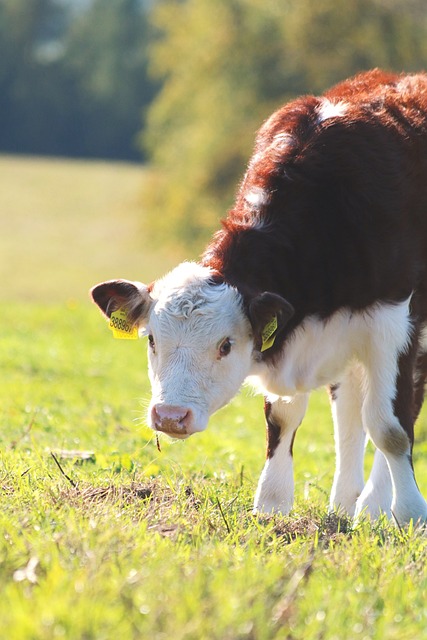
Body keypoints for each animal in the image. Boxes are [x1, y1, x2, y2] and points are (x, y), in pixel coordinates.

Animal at [92, 72, 427, 528]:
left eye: (226, 345)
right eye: (152, 340)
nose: (170, 416)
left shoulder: (394, 323)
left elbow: (391, 428)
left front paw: (409, 514)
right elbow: (284, 418)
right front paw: (272, 504)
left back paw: (373, 504)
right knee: (349, 416)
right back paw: (349, 503)